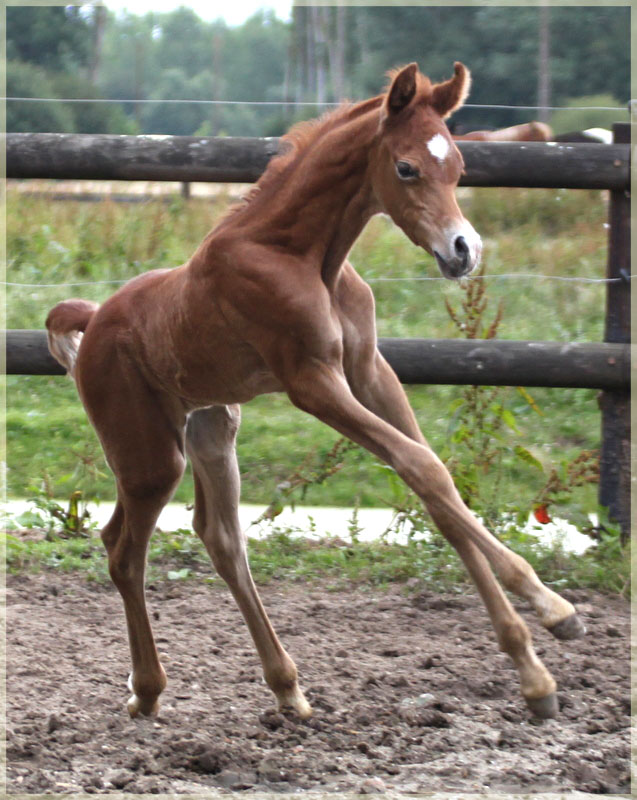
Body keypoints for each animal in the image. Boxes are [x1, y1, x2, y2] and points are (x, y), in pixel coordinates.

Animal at [46, 62, 585, 723]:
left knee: (221, 539)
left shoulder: (369, 371)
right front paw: (552, 608)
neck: (299, 253)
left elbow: (433, 481)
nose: (464, 251)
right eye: (406, 168)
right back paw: (148, 689)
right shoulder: (312, 381)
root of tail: (93, 318)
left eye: (458, 165)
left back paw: (287, 688)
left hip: (211, 430)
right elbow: (422, 468)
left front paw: (532, 672)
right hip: (149, 456)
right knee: (122, 549)